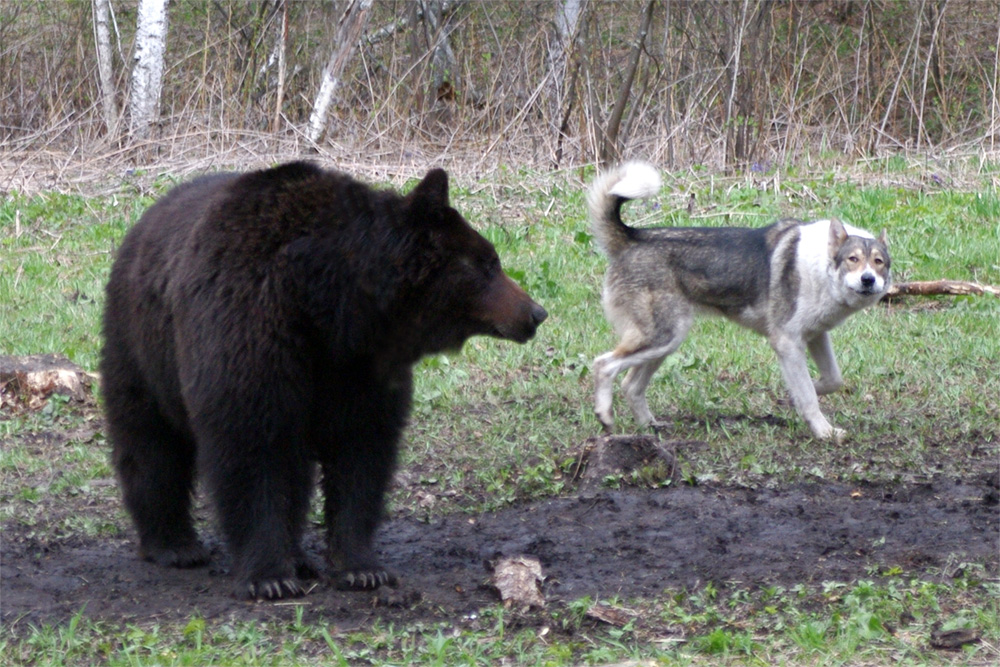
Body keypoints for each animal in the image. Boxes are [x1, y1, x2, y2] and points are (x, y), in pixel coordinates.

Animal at [101, 162, 548, 600]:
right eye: (488, 262)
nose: (536, 312)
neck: (323, 308)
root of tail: (144, 220)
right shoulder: (247, 332)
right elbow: (249, 449)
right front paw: (269, 577)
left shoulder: (355, 370)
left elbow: (361, 455)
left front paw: (361, 567)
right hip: (141, 346)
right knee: (150, 443)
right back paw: (174, 545)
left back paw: (297, 556)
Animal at [584, 162, 892, 444]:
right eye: (853, 259)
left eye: (879, 262)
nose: (868, 280)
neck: (821, 267)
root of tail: (633, 238)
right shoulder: (787, 342)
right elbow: (807, 396)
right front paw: (824, 431)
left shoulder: (816, 336)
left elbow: (831, 380)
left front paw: (800, 395)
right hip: (662, 337)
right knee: (603, 365)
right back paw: (605, 415)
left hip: (666, 342)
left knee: (630, 385)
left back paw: (650, 427)